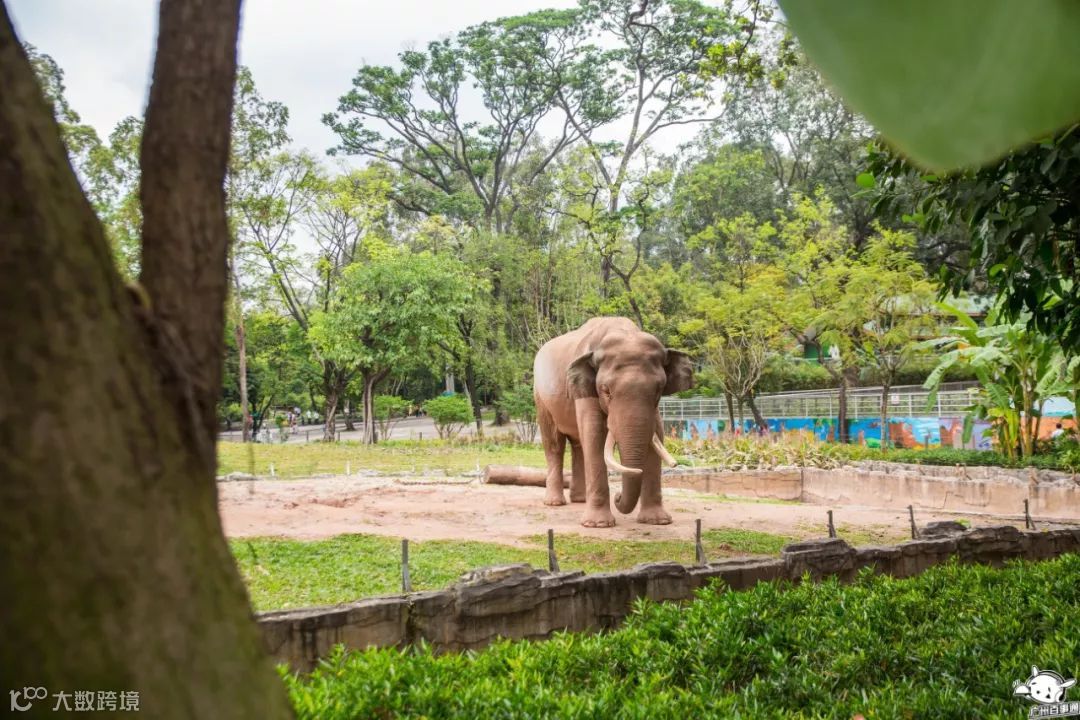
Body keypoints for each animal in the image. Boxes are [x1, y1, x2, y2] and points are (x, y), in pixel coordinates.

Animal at [532, 317, 694, 527]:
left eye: (659, 390)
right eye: (606, 390)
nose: (617, 497)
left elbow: (657, 434)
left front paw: (658, 521)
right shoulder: (585, 390)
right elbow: (594, 435)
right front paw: (598, 525)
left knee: (578, 445)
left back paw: (580, 500)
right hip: (541, 398)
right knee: (554, 444)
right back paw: (554, 503)